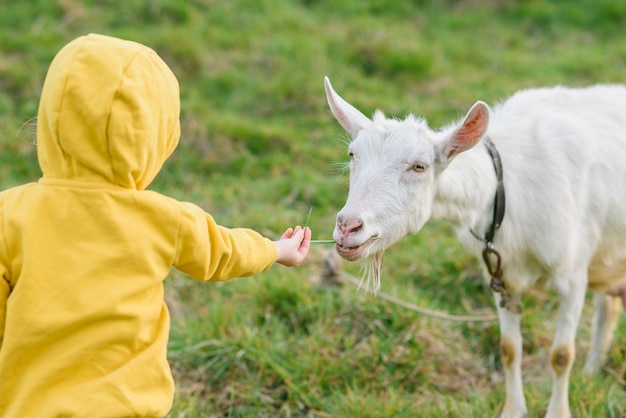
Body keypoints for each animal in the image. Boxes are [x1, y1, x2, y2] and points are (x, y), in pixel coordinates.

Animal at [324, 76, 624, 418]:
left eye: (419, 166)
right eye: (352, 154)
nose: (348, 226)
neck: (502, 190)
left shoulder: (572, 274)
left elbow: (561, 355)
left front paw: (558, 412)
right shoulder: (501, 274)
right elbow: (509, 349)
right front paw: (512, 410)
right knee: (609, 305)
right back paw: (592, 372)